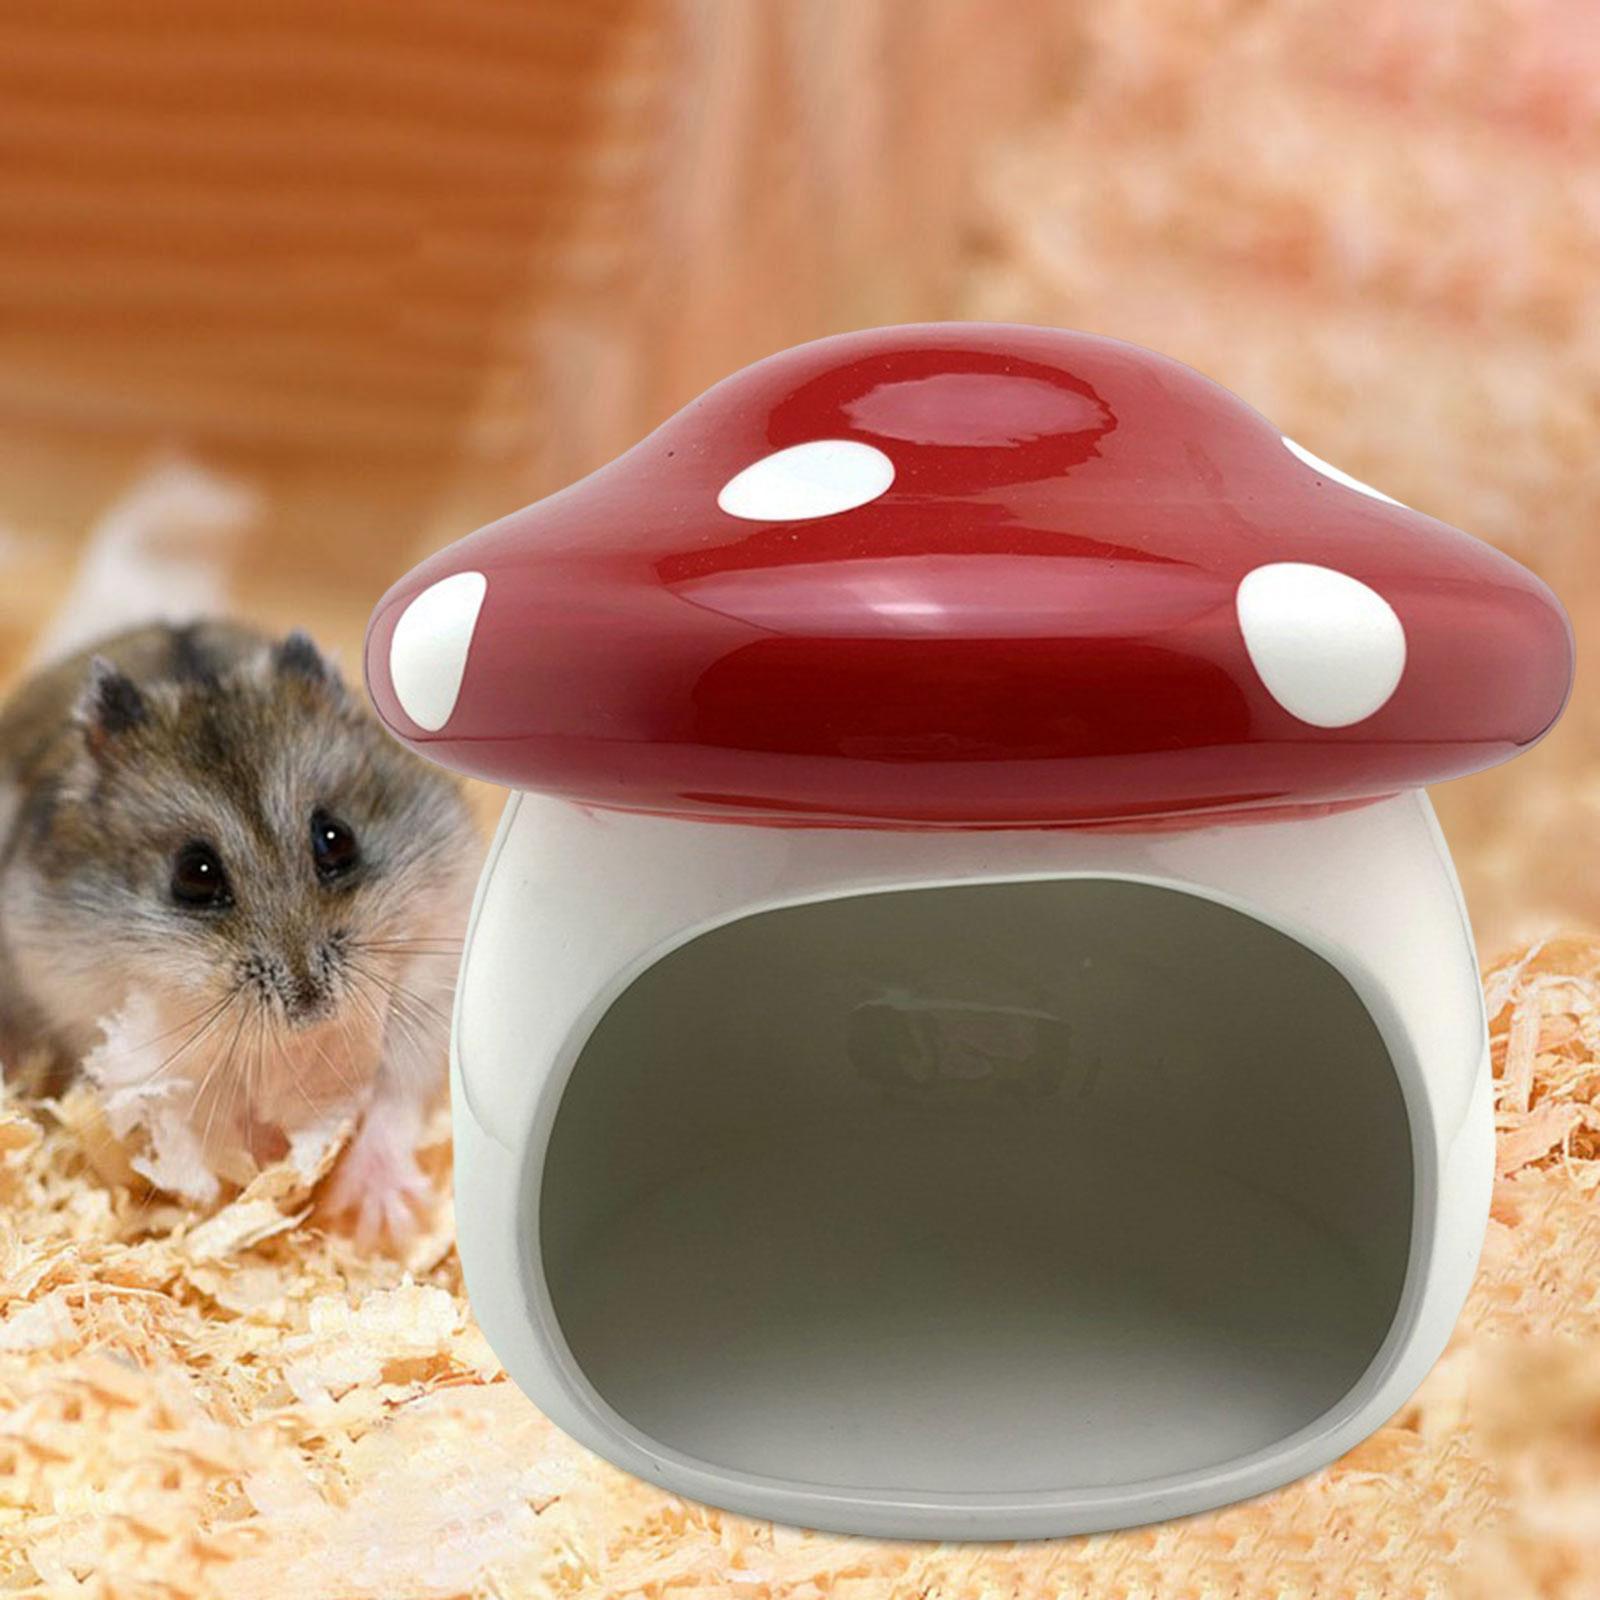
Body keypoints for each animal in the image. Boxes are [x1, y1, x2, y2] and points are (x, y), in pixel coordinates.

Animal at [0, 619, 481, 1242]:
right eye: (194, 874)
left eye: (337, 839)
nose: (310, 1006)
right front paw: (268, 1156)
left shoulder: (428, 988)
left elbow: (394, 1099)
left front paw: (380, 1223)